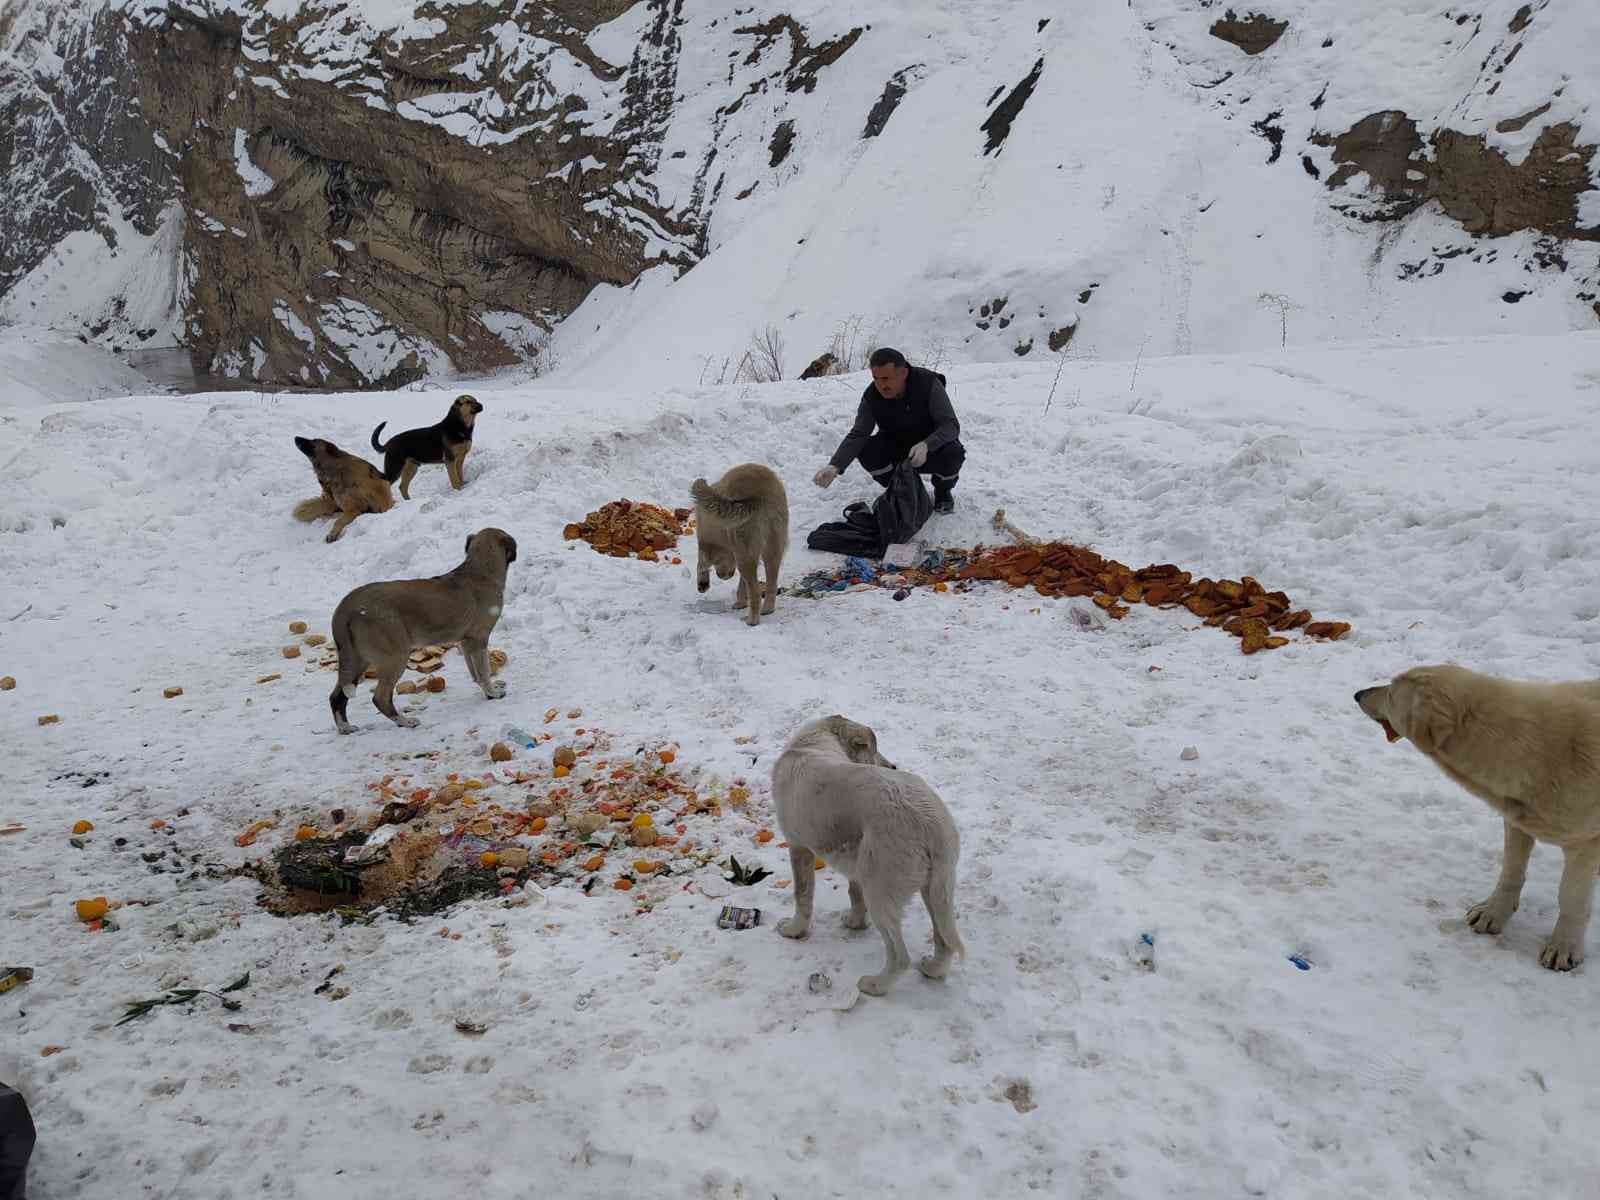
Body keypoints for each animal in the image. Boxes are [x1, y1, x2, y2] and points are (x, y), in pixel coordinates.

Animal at [328, 531, 515, 739]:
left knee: (337, 697)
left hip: (356, 660)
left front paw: (487, 690)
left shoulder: (466, 642)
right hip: (395, 657)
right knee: (380, 698)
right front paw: (493, 693)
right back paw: (405, 722)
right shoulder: (479, 639)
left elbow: (475, 672)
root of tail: (347, 607)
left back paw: (345, 727)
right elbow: (483, 671)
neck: (479, 571)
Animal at [1356, 668, 1600, 979]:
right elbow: (1511, 871)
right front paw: (1492, 913)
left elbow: (1571, 898)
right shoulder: (1516, 818)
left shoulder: (1585, 841)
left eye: (1391, 692)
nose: (1358, 694)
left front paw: (1563, 947)